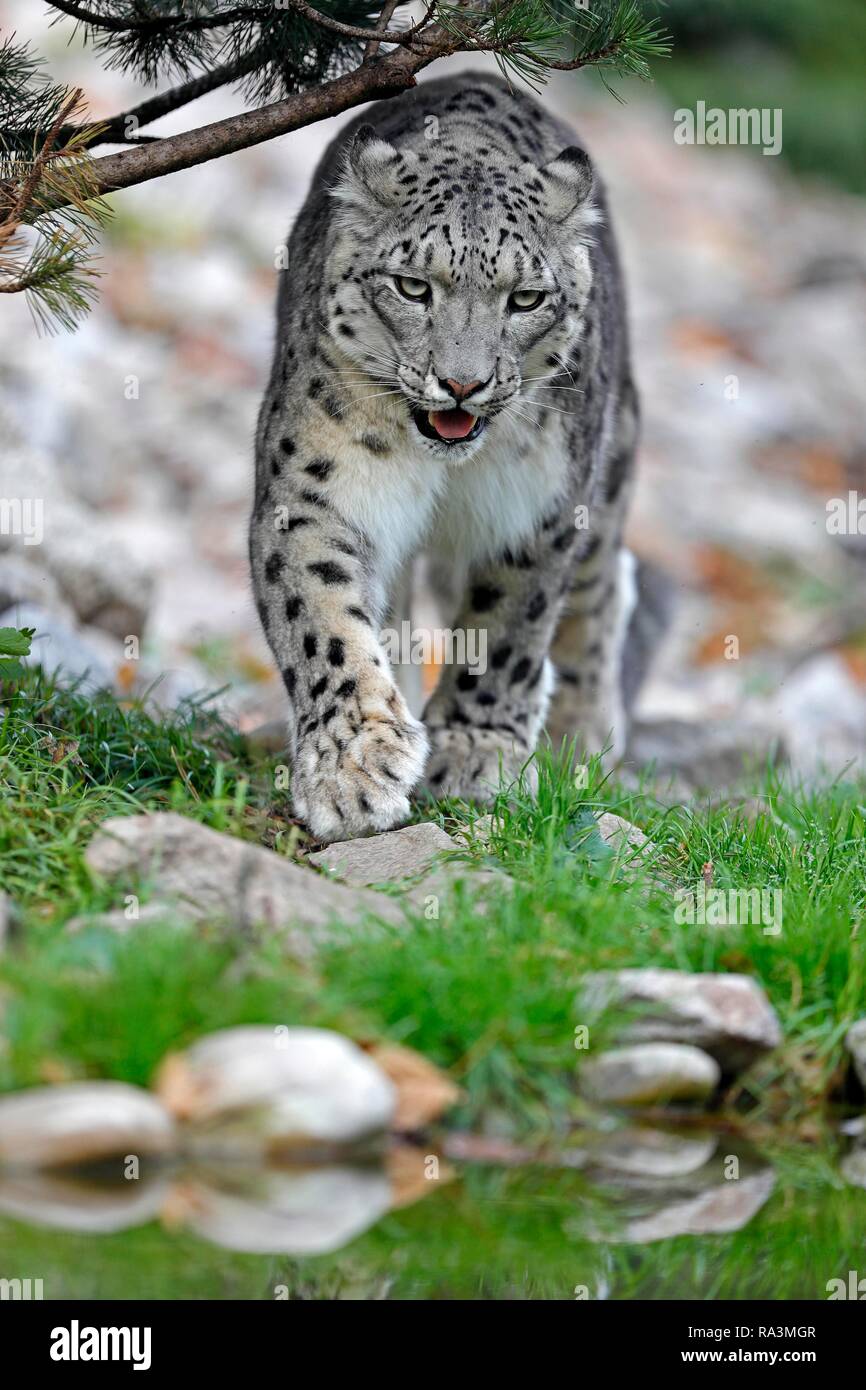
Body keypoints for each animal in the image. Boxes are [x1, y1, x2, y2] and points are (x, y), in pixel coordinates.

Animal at [250, 71, 651, 843]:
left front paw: (473, 752)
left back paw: (583, 744)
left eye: (525, 298)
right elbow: (323, 616)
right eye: (413, 286)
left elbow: (509, 627)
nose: (463, 383)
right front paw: (352, 768)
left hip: (608, 473)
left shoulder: (537, 509)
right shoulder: (315, 492)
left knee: (601, 593)